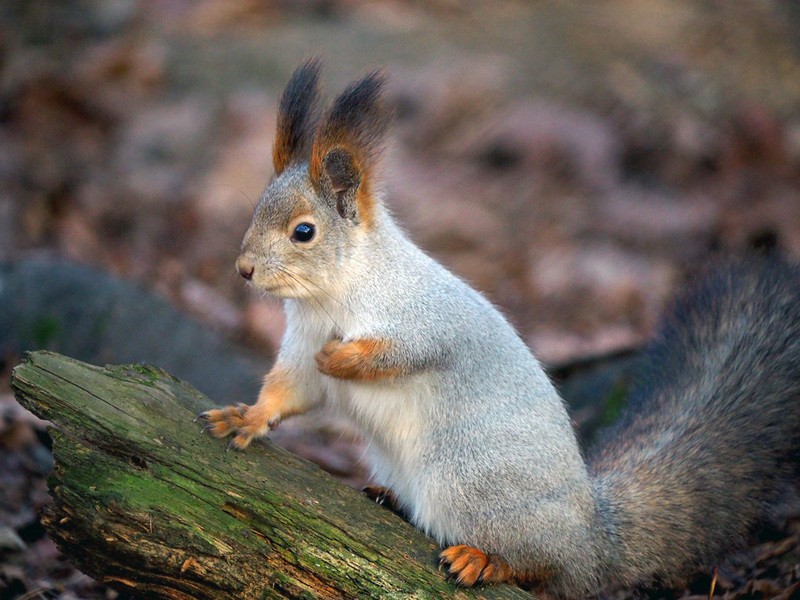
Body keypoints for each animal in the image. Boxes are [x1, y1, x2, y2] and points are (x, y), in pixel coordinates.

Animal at [198, 59, 800, 596]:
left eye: (304, 232)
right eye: (256, 207)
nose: (243, 269)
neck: (330, 298)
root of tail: (594, 537)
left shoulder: (427, 321)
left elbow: (404, 354)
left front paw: (343, 359)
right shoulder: (298, 345)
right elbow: (289, 390)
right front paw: (245, 417)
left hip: (471, 481)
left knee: (548, 569)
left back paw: (484, 561)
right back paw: (390, 498)